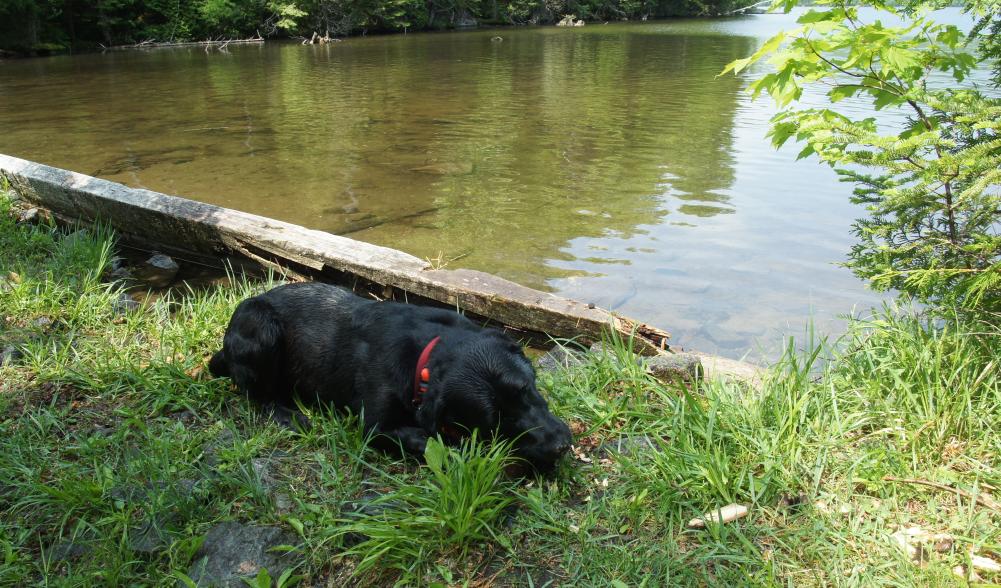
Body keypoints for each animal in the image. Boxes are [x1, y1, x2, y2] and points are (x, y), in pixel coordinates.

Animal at [209, 282, 572, 470]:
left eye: (527, 389)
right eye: (493, 422)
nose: (561, 446)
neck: (426, 356)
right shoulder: (374, 427)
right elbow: (426, 439)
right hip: (261, 325)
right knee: (255, 395)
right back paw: (287, 414)